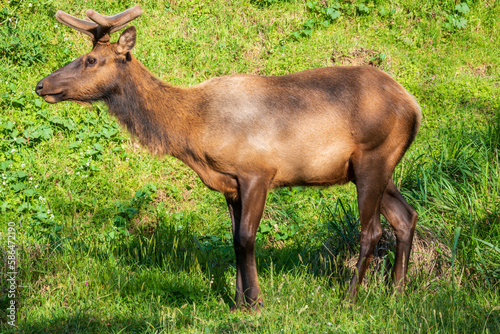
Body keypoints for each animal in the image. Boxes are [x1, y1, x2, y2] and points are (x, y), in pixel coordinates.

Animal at [35, 6, 420, 312]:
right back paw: (398, 293)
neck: (192, 131)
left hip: (373, 158)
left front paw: (256, 303)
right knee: (406, 215)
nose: (41, 85)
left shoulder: (258, 172)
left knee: (372, 230)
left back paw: (350, 299)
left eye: (91, 60)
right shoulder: (229, 184)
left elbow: (246, 238)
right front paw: (238, 303)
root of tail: (414, 107)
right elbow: (233, 239)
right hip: (374, 168)